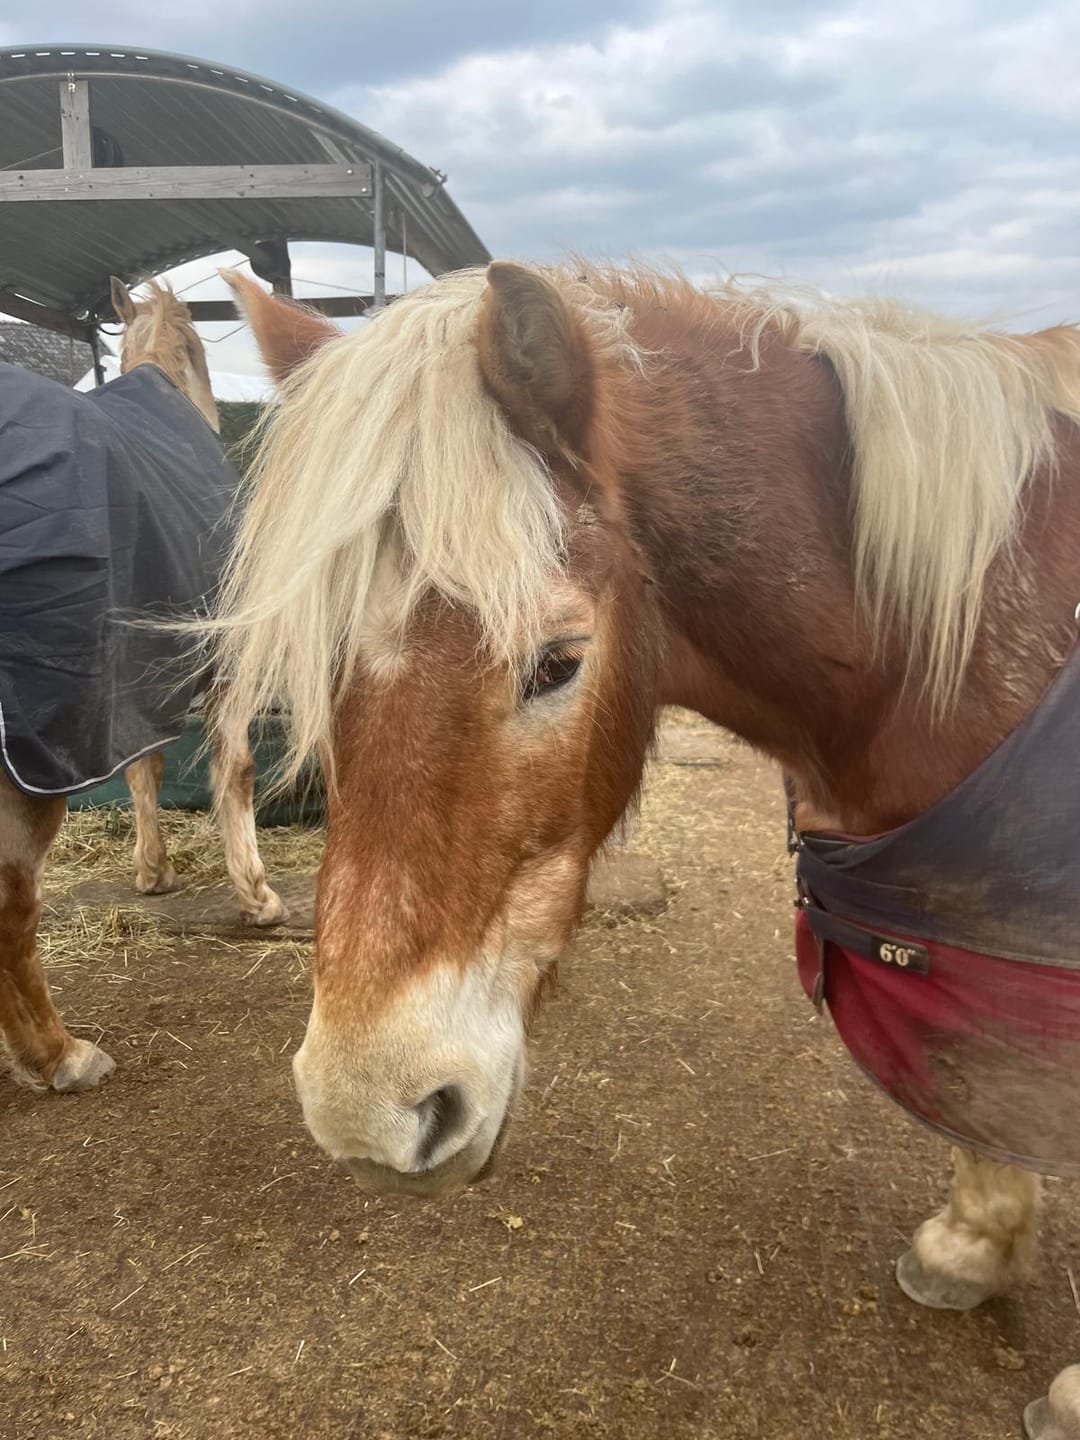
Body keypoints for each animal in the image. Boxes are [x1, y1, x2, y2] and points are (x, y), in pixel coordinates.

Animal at [0, 277, 285, 1096]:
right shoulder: (223, 666)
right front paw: (258, 897)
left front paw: (153, 873)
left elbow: (144, 770)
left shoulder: (133, 693)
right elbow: (234, 770)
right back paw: (59, 1057)